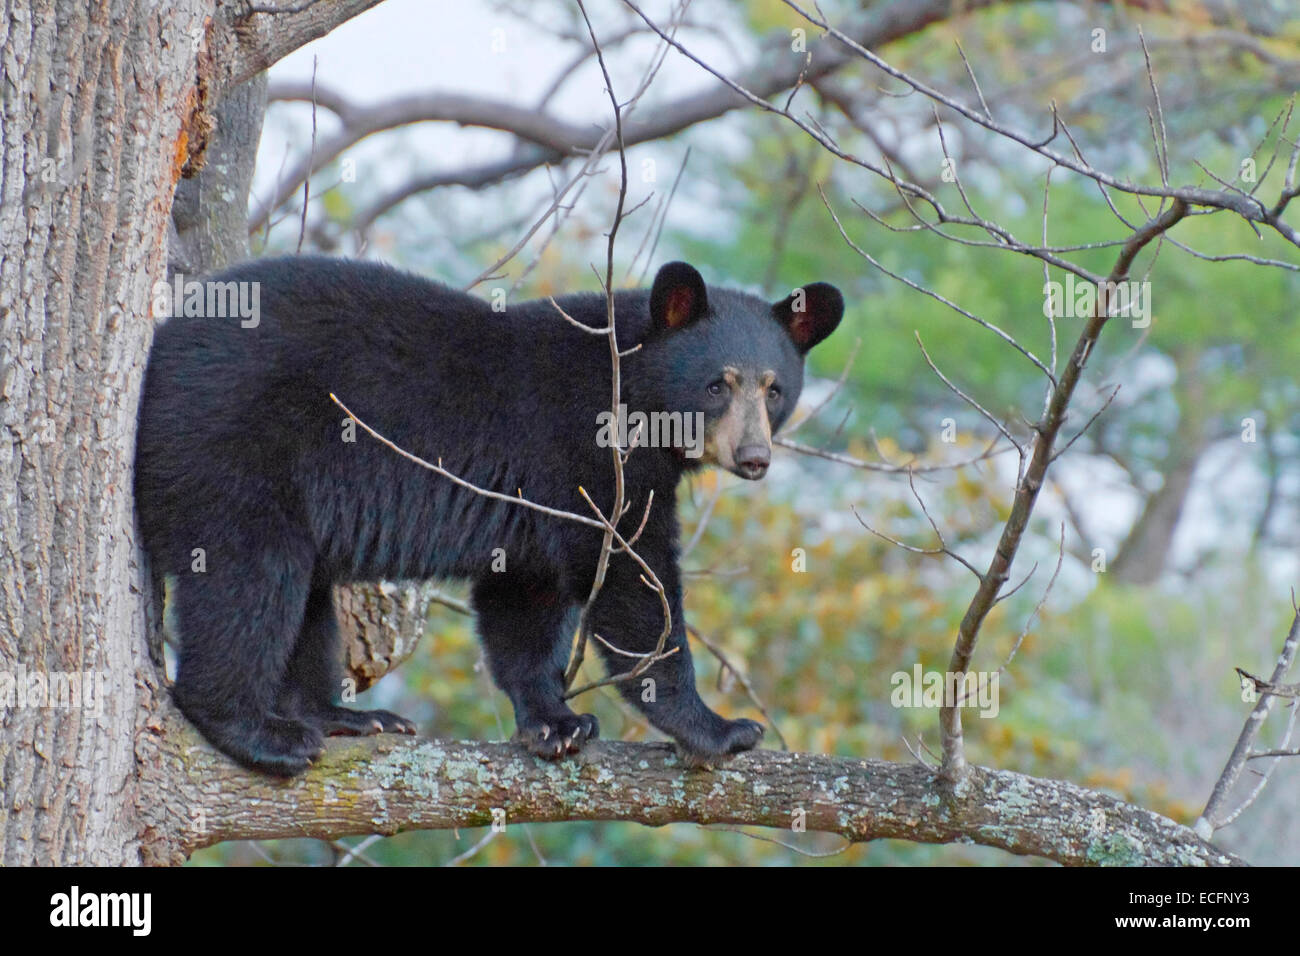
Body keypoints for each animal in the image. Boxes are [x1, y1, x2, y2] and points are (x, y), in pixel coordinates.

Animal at [134, 256, 842, 780]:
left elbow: (526, 601)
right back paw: (260, 732)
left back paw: (345, 716)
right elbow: (631, 581)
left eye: (775, 389)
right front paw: (718, 728)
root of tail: (162, 346)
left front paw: (556, 723)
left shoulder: (532, 510)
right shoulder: (586, 456)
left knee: (302, 595)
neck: (629, 388)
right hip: (227, 445)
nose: (754, 458)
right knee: (249, 580)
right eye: (717, 384)